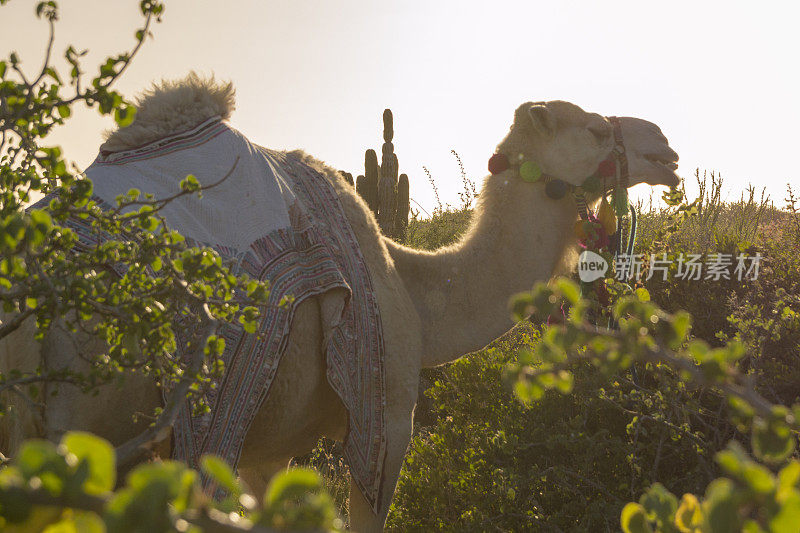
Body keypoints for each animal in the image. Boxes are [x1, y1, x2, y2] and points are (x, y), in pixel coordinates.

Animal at [0, 76, 680, 532]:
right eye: (595, 129)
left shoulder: (266, 445)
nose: (665, 147)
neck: (414, 291)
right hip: (96, 422)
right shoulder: (387, 417)